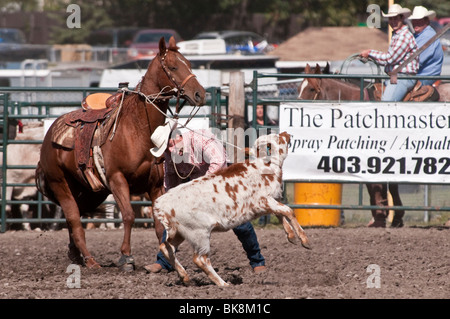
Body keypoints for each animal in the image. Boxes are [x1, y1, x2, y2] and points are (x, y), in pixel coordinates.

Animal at [36, 36, 207, 268]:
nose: (200, 94)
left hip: (89, 191)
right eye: (173, 67)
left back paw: (76, 254)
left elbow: (159, 223)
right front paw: (126, 256)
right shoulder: (117, 179)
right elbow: (128, 215)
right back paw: (90, 260)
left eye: (188, 64)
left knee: (76, 217)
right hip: (60, 183)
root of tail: (49, 135)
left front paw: (167, 260)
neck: (137, 129)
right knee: (73, 218)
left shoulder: (155, 185)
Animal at [154, 131, 310, 286]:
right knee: (200, 259)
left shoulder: (271, 201)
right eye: (278, 137)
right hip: (199, 234)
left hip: (180, 232)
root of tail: (161, 204)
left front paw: (291, 236)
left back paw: (185, 277)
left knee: (166, 248)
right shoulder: (263, 201)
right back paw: (223, 284)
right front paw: (305, 240)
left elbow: (281, 214)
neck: (265, 167)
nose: (286, 133)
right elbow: (288, 211)